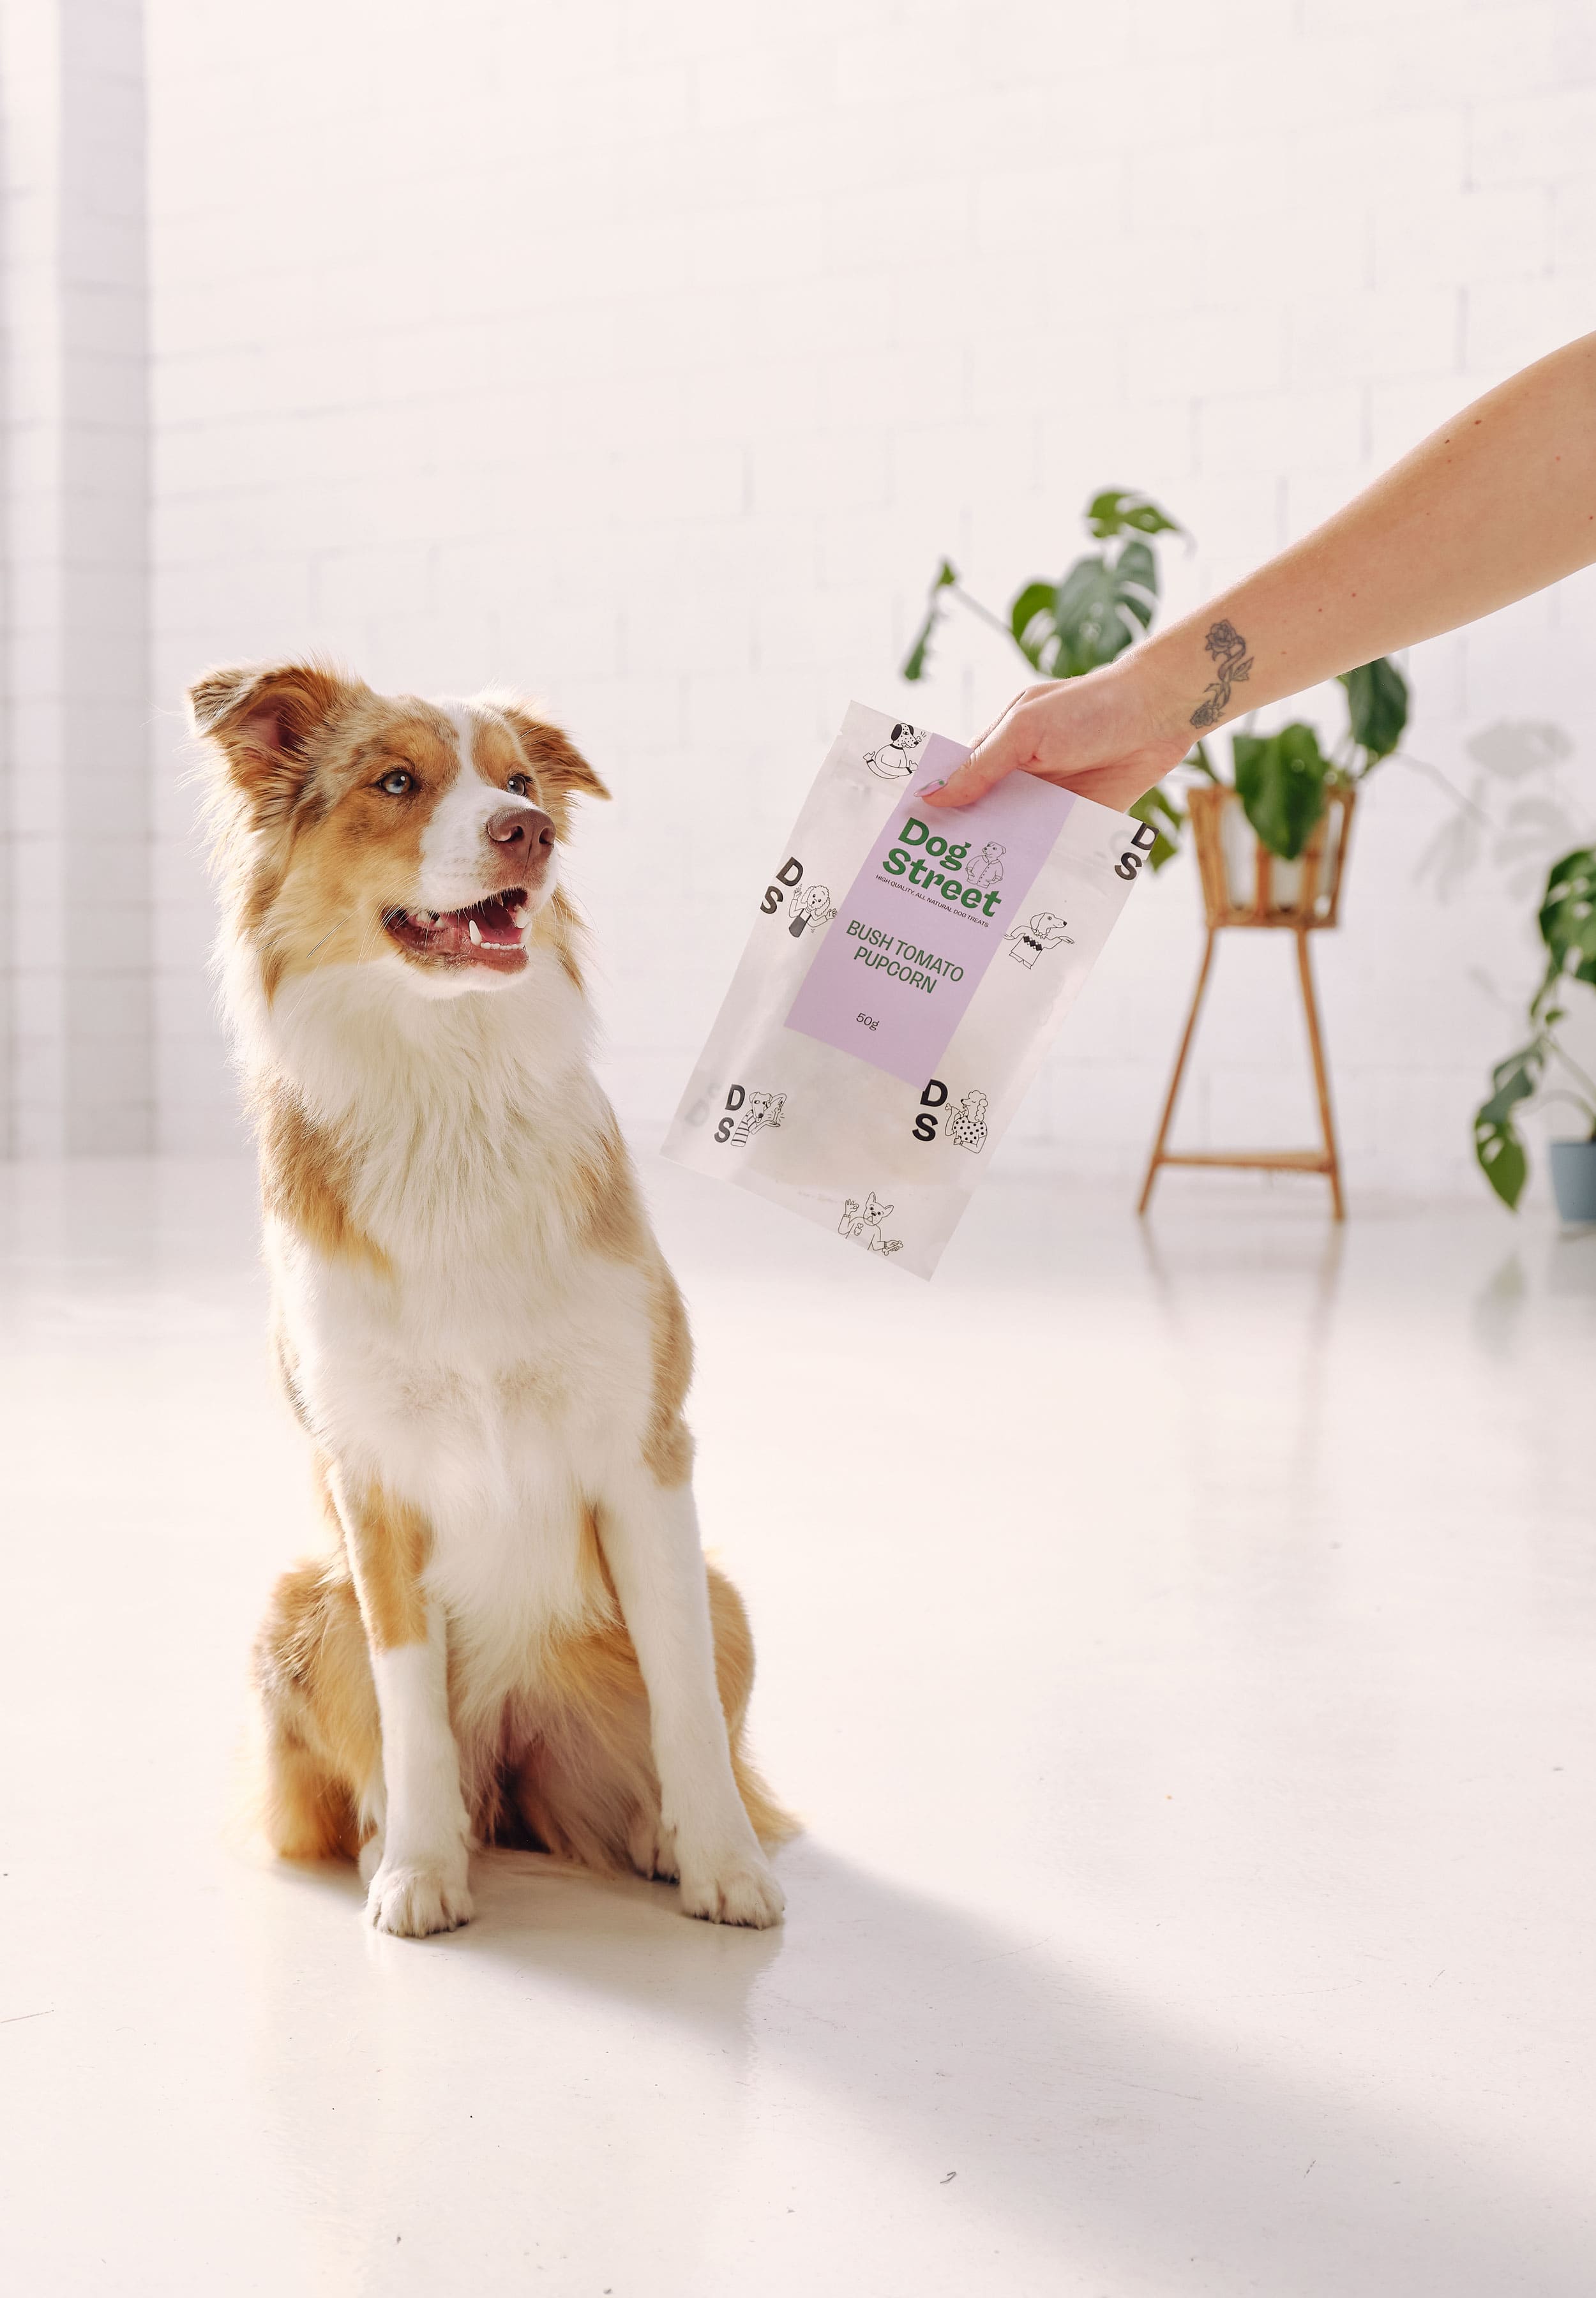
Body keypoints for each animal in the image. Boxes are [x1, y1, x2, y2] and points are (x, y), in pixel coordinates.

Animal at [196, 661, 795, 1939]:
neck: (446, 1080)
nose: (531, 832)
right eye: (395, 782)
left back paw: (654, 1836)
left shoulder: (643, 1451)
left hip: (723, 1596)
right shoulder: (369, 1480)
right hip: (298, 1600)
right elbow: (409, 1708)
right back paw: (396, 1840)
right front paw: (423, 1870)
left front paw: (723, 1865)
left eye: (520, 781)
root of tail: (520, 1750)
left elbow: (685, 1701)